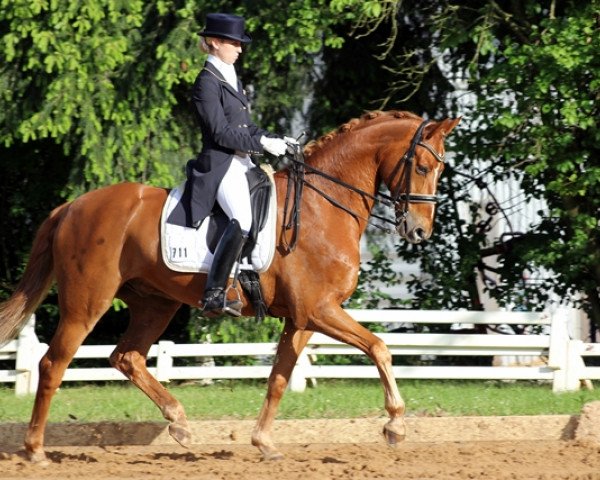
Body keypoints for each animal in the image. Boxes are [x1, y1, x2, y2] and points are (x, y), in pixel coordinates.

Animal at [0, 109, 460, 462]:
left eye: (439, 168)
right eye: (422, 167)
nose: (420, 231)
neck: (321, 206)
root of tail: (72, 206)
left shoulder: (303, 319)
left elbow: (278, 378)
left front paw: (264, 443)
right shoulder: (320, 310)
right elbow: (379, 347)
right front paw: (396, 424)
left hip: (155, 304)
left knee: (127, 357)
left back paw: (180, 424)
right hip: (87, 303)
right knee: (52, 364)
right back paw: (35, 450)